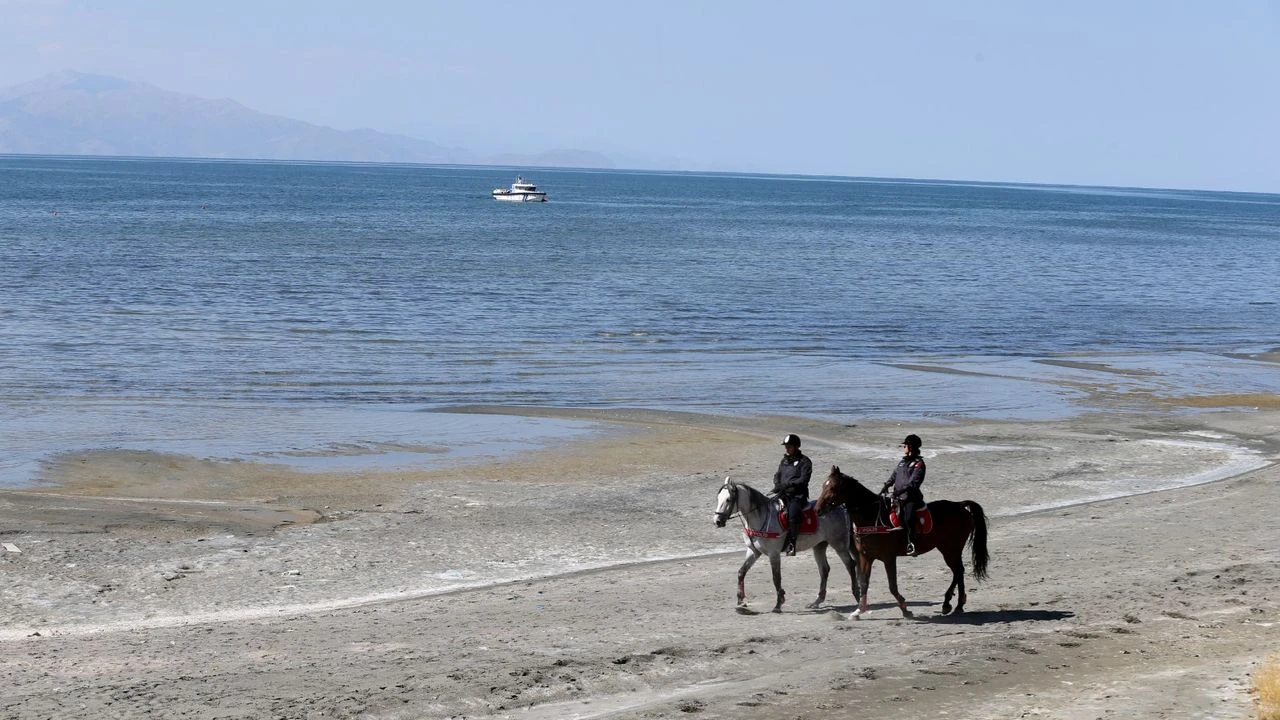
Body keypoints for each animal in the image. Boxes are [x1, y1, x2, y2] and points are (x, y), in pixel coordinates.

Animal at [711, 476, 860, 609]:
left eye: (728, 499)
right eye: (718, 499)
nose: (717, 521)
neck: (761, 517)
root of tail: (841, 508)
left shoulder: (774, 554)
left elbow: (776, 577)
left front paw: (779, 603)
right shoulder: (754, 551)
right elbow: (741, 572)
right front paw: (740, 601)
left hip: (839, 545)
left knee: (850, 565)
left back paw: (857, 595)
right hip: (819, 546)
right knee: (824, 570)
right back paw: (817, 602)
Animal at [819, 466, 988, 617]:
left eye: (833, 488)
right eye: (823, 485)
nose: (818, 509)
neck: (872, 516)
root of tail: (959, 505)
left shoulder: (888, 557)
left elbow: (892, 586)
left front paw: (905, 610)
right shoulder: (866, 557)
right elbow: (864, 583)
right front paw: (859, 610)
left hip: (951, 549)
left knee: (958, 571)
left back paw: (951, 604)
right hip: (948, 548)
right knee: (958, 572)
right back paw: (956, 604)